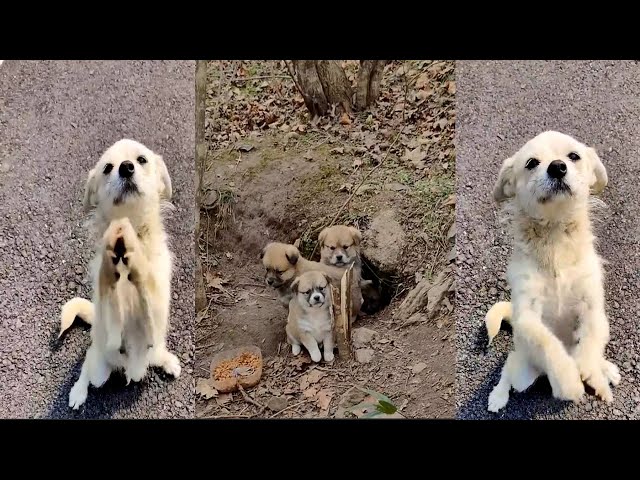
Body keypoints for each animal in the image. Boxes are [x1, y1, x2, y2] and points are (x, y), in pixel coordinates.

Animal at [59, 138, 181, 408]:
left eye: (141, 160)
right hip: (98, 367)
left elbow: (146, 285)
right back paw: (78, 392)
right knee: (87, 368)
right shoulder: (112, 312)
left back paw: (167, 361)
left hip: (154, 345)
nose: (126, 167)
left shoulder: (155, 307)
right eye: (107, 168)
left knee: (156, 353)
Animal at [484, 130, 620, 412]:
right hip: (521, 373)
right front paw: (569, 383)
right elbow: (549, 345)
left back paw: (606, 370)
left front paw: (593, 373)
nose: (557, 167)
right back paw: (498, 396)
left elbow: (591, 341)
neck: (556, 238)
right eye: (531, 163)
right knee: (508, 368)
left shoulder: (592, 307)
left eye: (574, 156)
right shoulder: (528, 316)